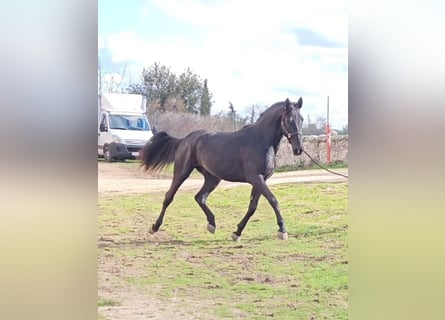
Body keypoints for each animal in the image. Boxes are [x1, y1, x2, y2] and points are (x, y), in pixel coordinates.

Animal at [140, 97, 304, 240]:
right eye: (289, 120)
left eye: (301, 120)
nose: (299, 149)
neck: (261, 141)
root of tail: (184, 140)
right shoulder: (256, 178)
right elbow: (273, 200)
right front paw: (282, 231)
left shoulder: (261, 180)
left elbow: (252, 207)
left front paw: (237, 233)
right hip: (182, 172)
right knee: (169, 196)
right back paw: (154, 227)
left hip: (213, 178)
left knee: (200, 197)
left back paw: (212, 224)